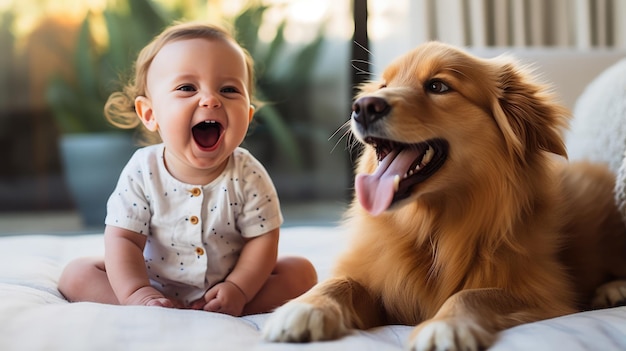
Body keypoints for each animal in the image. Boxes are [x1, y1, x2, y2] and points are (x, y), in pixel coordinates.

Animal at [260, 42, 624, 350]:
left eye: (438, 86)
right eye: (382, 86)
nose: (362, 107)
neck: (431, 227)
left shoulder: (544, 293)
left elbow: (474, 294)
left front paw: (444, 325)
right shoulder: (383, 283)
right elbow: (341, 283)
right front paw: (306, 306)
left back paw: (613, 289)